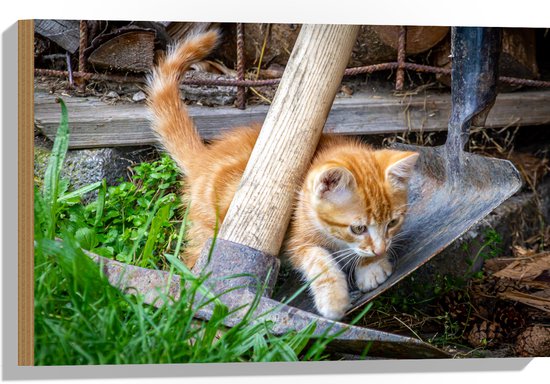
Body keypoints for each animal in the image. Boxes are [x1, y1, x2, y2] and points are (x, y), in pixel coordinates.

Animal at [147, 30, 418, 320]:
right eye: (358, 228)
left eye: (393, 223)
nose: (381, 249)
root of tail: (204, 158)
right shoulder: (294, 240)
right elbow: (319, 261)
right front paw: (334, 300)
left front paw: (372, 266)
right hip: (209, 229)